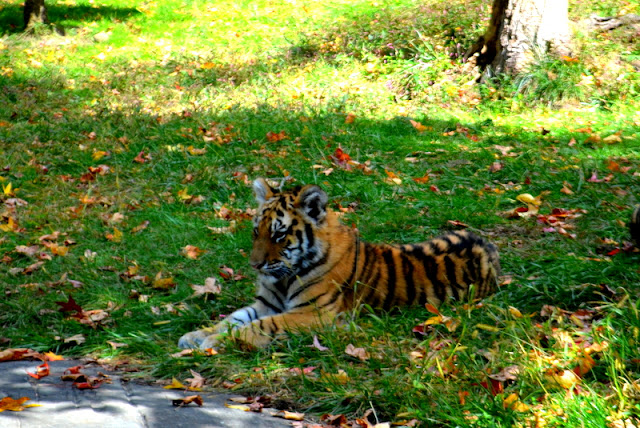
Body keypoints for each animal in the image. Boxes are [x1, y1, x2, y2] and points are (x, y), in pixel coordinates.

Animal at [178, 178, 500, 350]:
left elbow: (261, 325)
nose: (255, 266)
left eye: (279, 235)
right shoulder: (266, 303)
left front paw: (215, 343)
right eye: (256, 231)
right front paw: (196, 335)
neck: (285, 278)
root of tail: (489, 247)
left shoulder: (314, 313)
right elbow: (232, 319)